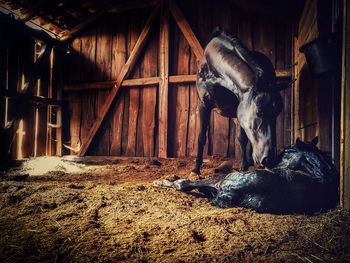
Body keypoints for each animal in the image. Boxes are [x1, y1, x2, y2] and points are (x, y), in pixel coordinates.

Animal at [193, 28, 288, 175]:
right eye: (259, 112)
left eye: (277, 113)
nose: (269, 160)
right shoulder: (204, 104)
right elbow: (201, 136)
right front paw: (196, 169)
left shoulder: (238, 109)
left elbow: (242, 139)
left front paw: (243, 166)